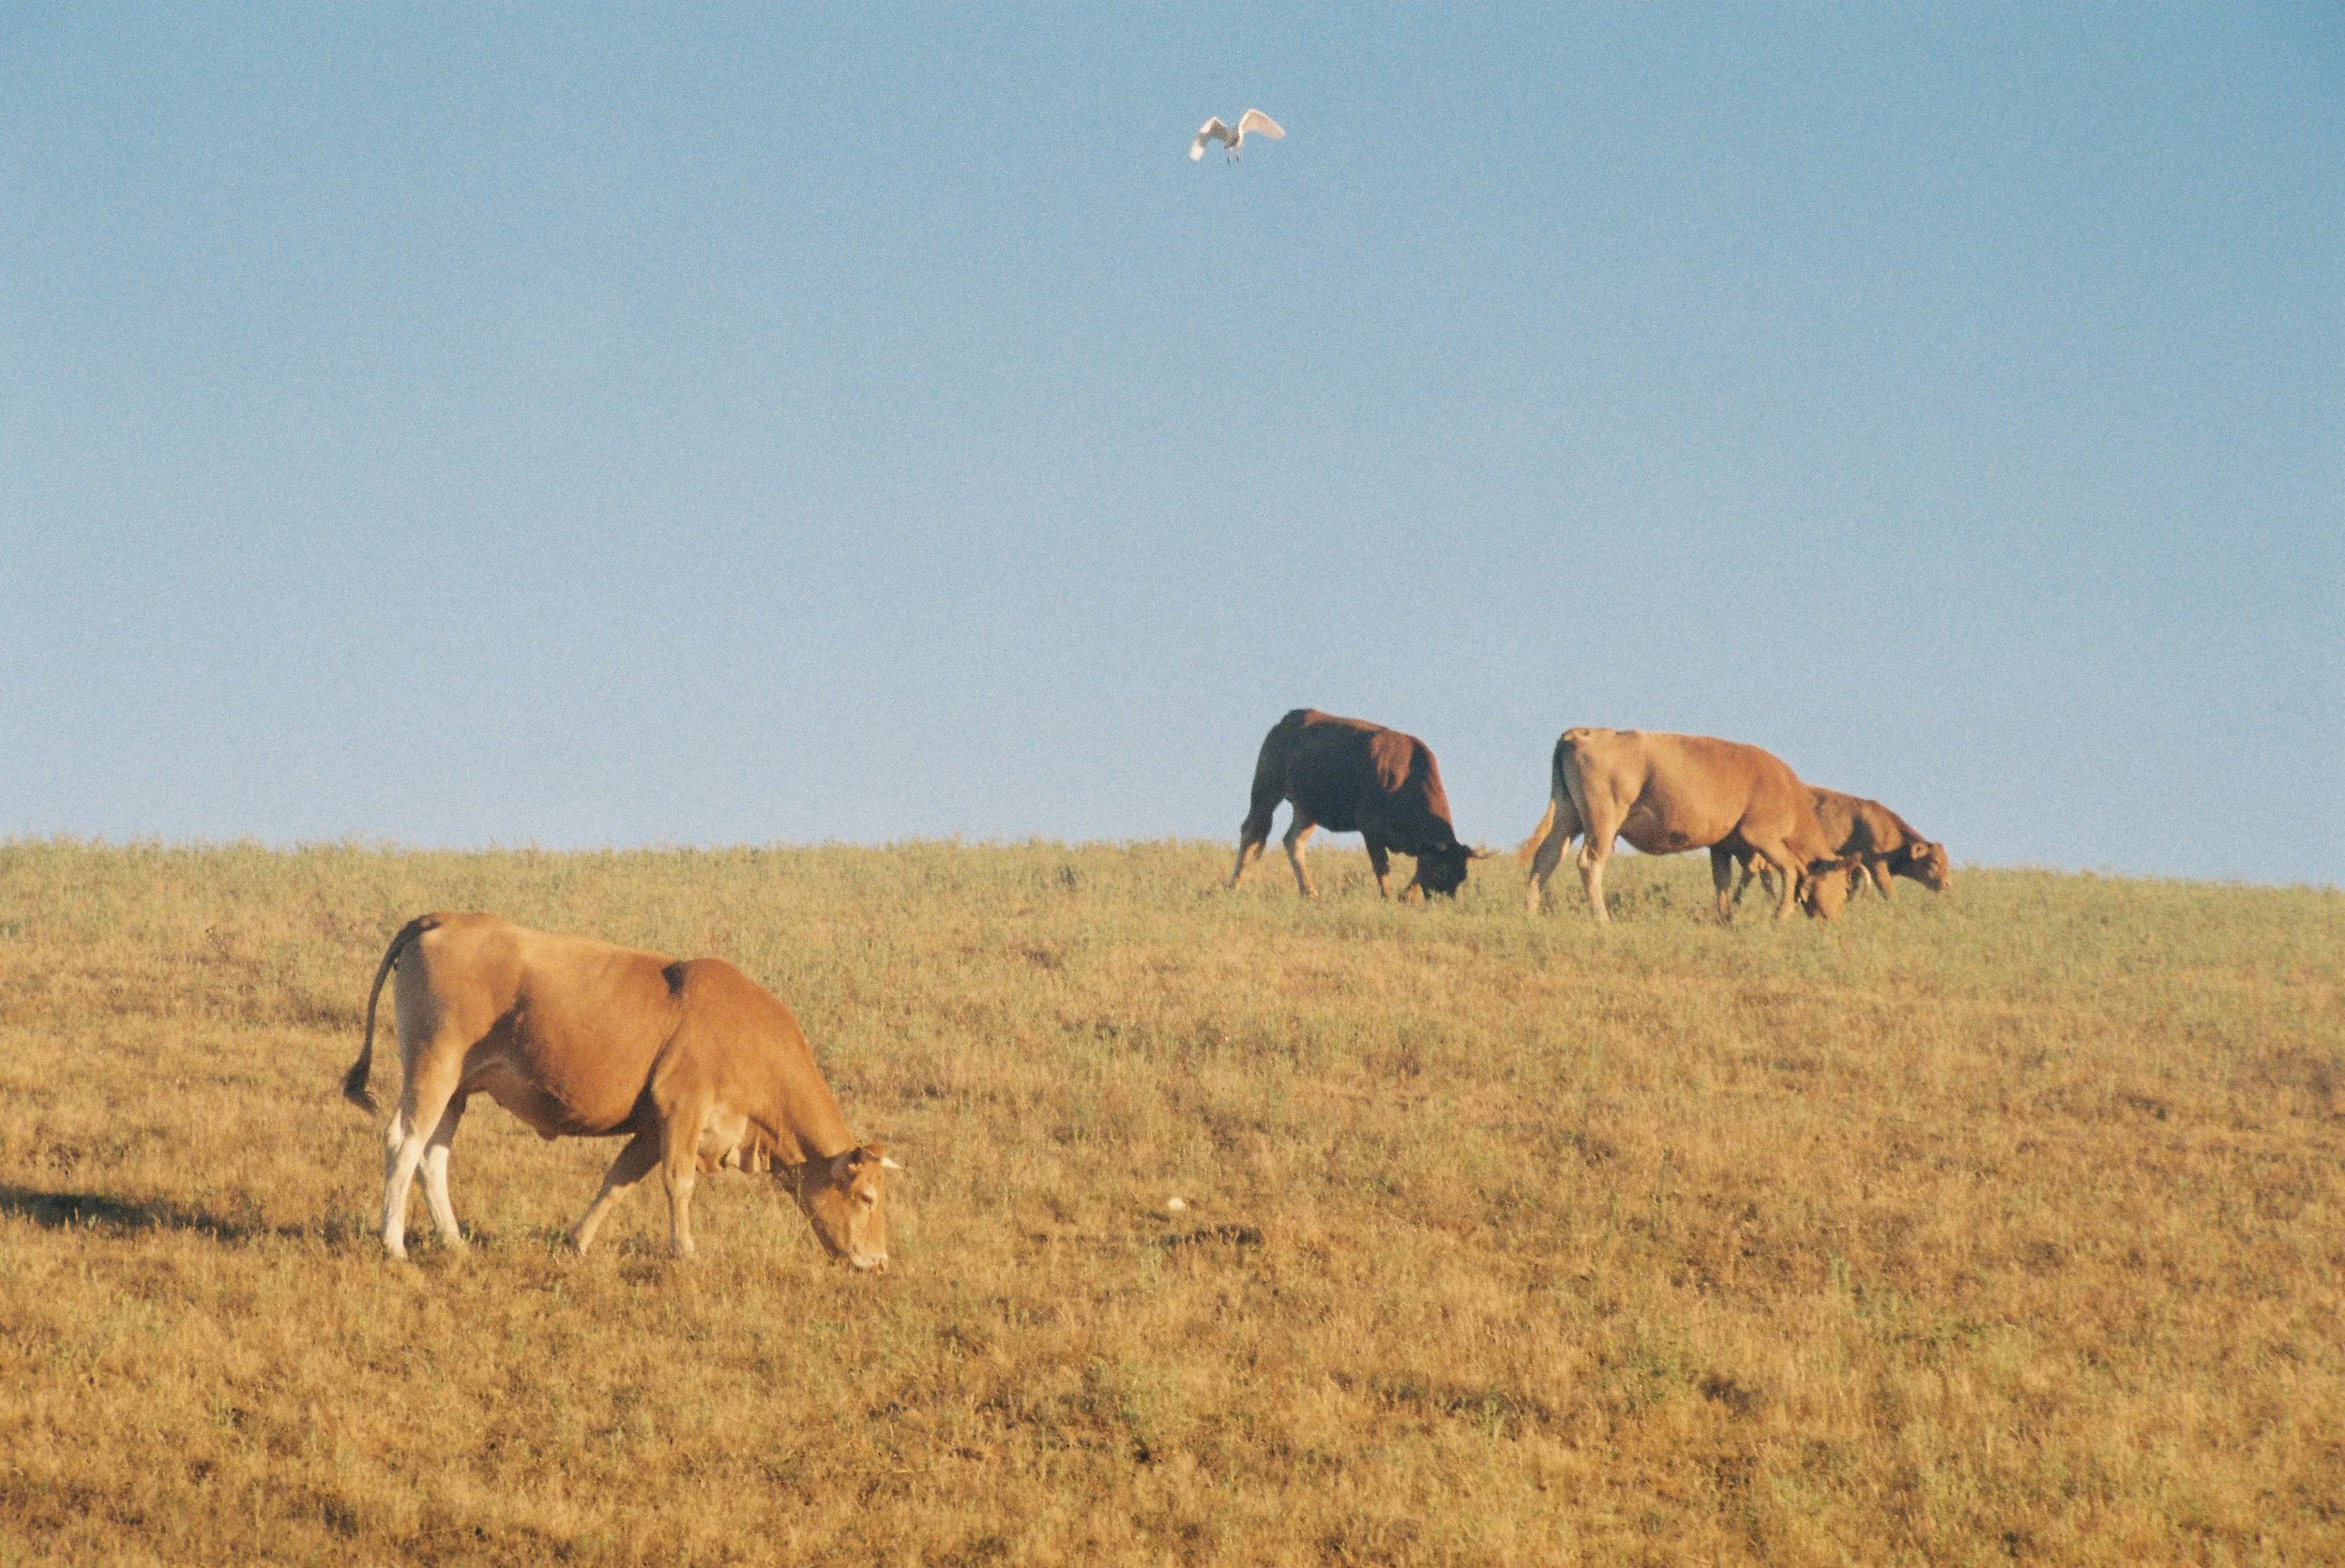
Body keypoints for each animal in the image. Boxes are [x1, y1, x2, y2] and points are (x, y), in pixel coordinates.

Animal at [343, 913, 899, 1269]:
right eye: (867, 1197)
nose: (878, 1261)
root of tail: (442, 919)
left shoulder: (652, 1128)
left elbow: (618, 1181)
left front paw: (576, 1241)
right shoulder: (682, 1110)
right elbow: (678, 1183)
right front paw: (685, 1252)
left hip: (457, 1089)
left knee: (433, 1156)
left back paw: (454, 1241)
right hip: (433, 1068)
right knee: (404, 1144)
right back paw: (393, 1246)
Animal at [1229, 708, 1485, 899]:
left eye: (1462, 875)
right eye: (1441, 871)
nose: (1443, 900)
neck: (1403, 776)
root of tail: (1284, 722)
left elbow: (1416, 871)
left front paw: (1405, 896)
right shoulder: (1370, 830)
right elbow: (1382, 866)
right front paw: (1387, 896)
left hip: (1307, 810)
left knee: (1293, 840)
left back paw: (1309, 891)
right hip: (1266, 791)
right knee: (1251, 832)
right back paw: (1234, 885)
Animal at [1519, 728, 1855, 923]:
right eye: (1843, 886)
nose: (1836, 920)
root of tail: (1582, 732)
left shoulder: (1721, 845)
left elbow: (1723, 880)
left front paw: (1726, 919)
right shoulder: (1764, 837)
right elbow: (1789, 871)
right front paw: (1781, 916)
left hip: (1568, 814)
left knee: (1547, 855)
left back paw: (1530, 913)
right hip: (1603, 818)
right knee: (1589, 862)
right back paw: (1602, 920)